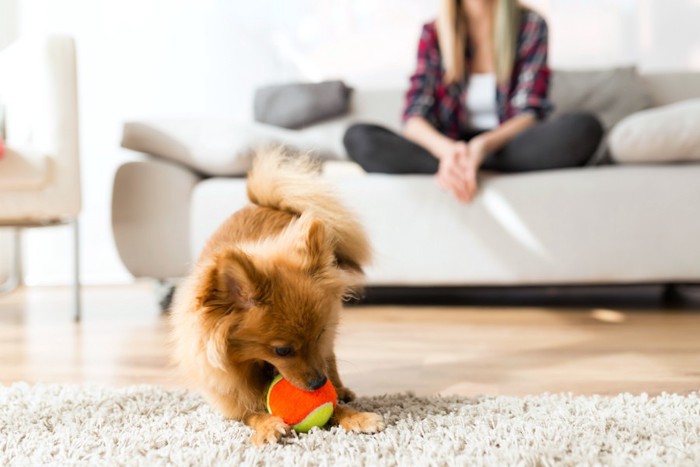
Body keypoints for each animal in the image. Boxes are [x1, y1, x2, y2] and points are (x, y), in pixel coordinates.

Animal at [172, 150, 386, 446]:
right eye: (282, 351)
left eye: (317, 336)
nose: (319, 384)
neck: (254, 365)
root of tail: (264, 203)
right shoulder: (232, 400)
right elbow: (251, 413)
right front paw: (268, 426)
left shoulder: (323, 343)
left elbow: (334, 402)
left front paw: (357, 416)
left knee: (332, 359)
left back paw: (341, 388)